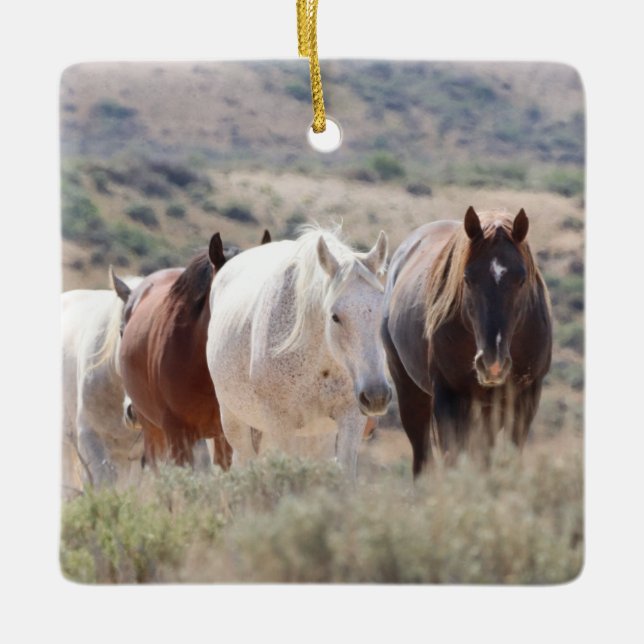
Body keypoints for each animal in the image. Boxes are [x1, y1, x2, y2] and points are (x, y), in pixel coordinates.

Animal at [206, 224, 392, 479]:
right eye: (334, 316)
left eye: (383, 311)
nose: (376, 396)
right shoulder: (280, 425)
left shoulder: (350, 418)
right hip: (236, 422)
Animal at [382, 207, 552, 476]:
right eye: (468, 278)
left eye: (521, 279)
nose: (493, 363)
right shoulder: (449, 397)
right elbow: (453, 457)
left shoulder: (525, 400)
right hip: (410, 391)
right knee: (422, 457)